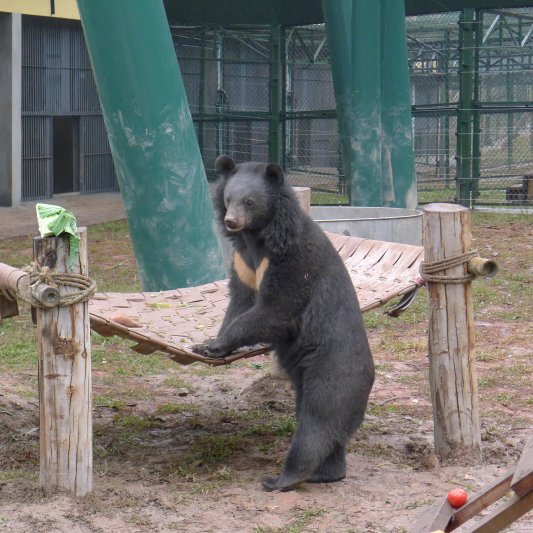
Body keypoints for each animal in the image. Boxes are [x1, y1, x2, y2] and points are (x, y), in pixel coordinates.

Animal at [193, 155, 372, 490]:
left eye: (250, 202)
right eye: (229, 199)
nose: (231, 221)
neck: (258, 237)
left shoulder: (293, 261)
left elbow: (277, 309)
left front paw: (213, 345)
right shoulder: (242, 262)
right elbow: (240, 301)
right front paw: (206, 345)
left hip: (330, 371)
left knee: (316, 423)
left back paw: (281, 478)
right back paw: (327, 474)